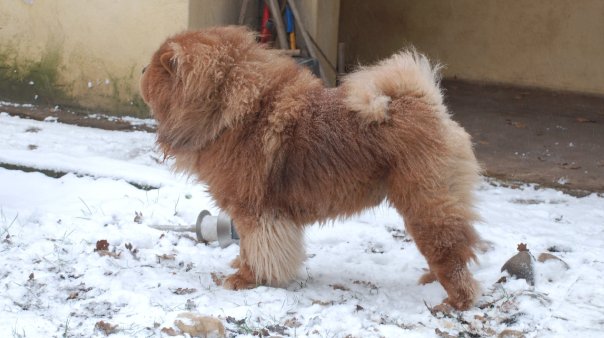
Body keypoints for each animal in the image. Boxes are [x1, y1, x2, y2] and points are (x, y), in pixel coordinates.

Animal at [140, 26, 482, 310]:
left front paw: (246, 279)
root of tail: (427, 104)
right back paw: (431, 280)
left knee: (451, 253)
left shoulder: (257, 212)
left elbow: (259, 249)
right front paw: (240, 267)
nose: (143, 68)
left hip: (424, 204)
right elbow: (248, 247)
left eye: (157, 68)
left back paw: (456, 300)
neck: (230, 110)